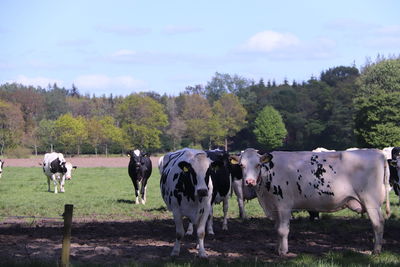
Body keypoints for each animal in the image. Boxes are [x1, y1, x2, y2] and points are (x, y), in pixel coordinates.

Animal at [233, 149, 390, 255]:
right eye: (241, 165)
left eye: (258, 165)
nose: (249, 181)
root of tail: (377, 152)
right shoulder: (275, 207)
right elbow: (277, 229)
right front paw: (278, 249)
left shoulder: (284, 205)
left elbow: (283, 230)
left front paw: (283, 252)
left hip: (371, 201)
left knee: (378, 223)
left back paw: (376, 251)